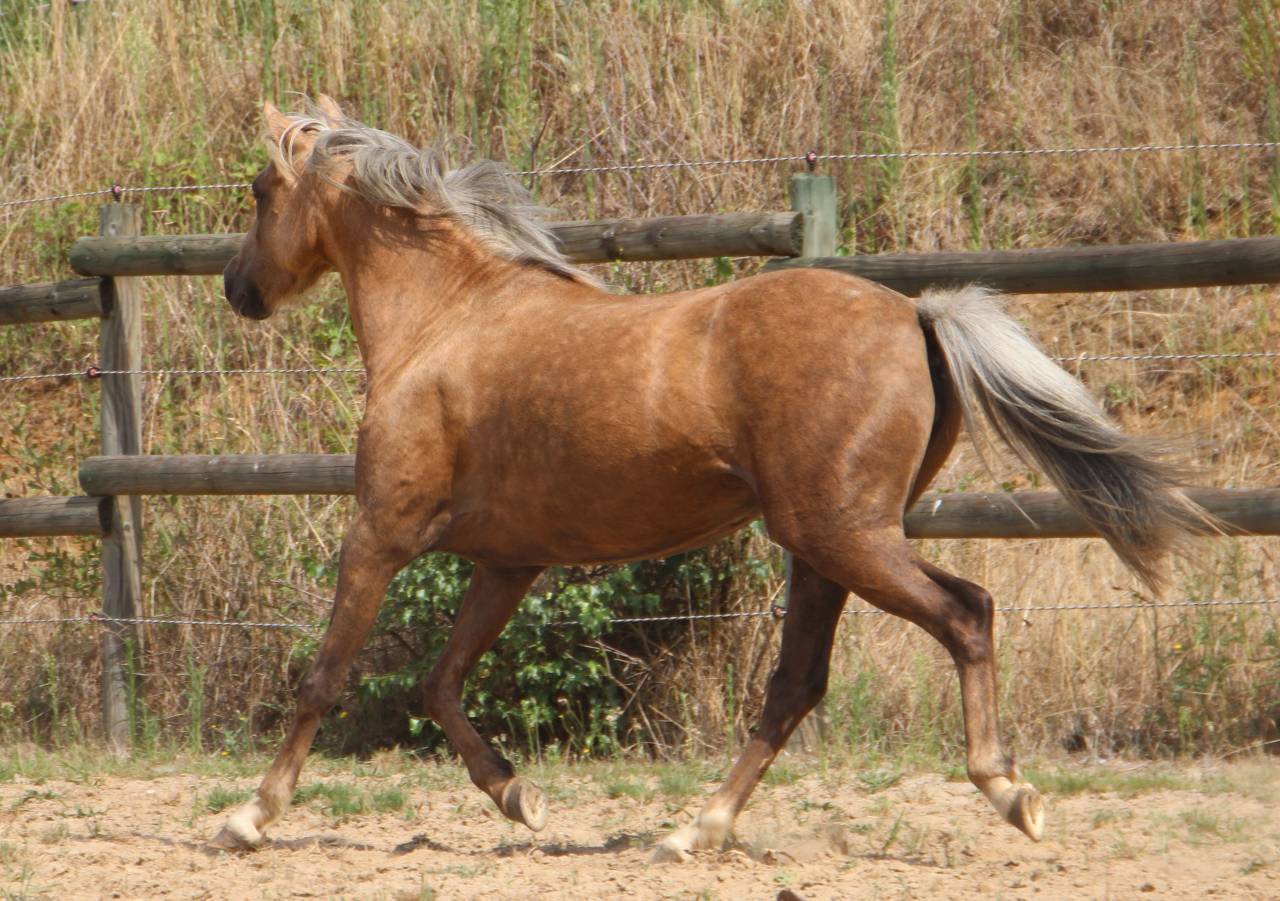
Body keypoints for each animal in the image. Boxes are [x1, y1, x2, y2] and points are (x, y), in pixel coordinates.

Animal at [215, 96, 1211, 860]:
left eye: (261, 191)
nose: (238, 289)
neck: (446, 320)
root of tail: (918, 316)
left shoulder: (380, 530)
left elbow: (326, 673)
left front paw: (249, 816)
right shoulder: (508, 560)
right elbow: (440, 682)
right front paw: (517, 795)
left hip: (846, 535)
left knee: (965, 613)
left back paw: (1009, 791)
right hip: (823, 547)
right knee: (796, 683)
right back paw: (696, 828)